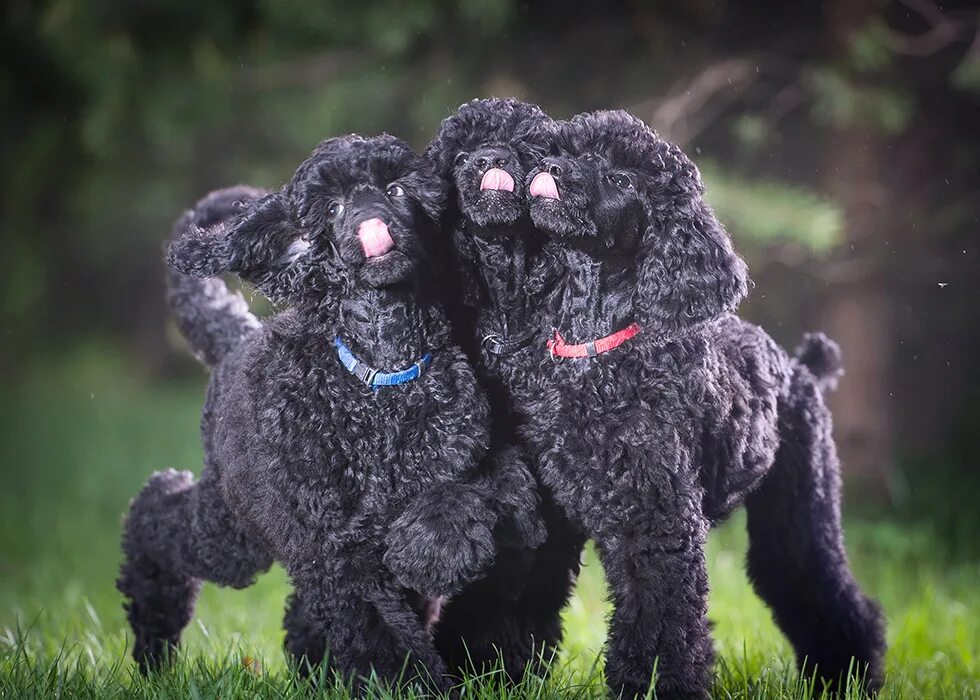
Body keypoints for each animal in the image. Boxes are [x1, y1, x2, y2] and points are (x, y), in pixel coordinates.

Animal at [117, 134, 544, 692]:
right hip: (232, 531)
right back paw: (154, 642)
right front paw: (411, 686)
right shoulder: (337, 552)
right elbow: (384, 636)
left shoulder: (474, 459)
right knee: (156, 512)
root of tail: (236, 341)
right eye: (334, 209)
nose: (370, 218)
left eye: (396, 188)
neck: (382, 376)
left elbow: (477, 493)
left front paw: (433, 546)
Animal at [520, 109, 888, 696]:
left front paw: (655, 687)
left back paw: (850, 678)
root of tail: (803, 369)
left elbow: (662, 625)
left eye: (621, 178)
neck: (597, 351)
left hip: (799, 516)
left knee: (834, 596)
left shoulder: (658, 526)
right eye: (569, 149)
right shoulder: (554, 523)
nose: (552, 169)